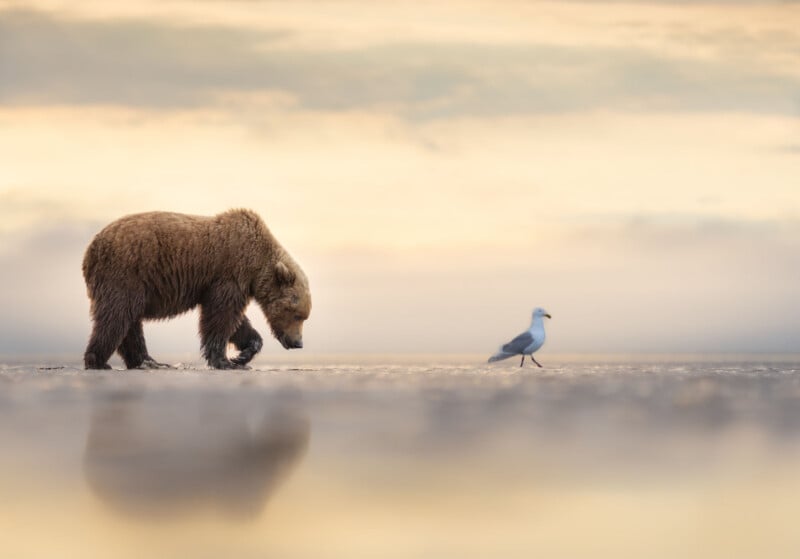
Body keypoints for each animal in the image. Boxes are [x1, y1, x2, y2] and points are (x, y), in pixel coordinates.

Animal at [82, 209, 311, 370]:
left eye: (304, 316)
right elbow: (221, 316)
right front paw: (224, 361)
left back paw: (148, 361)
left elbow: (235, 321)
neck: (256, 265)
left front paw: (243, 355)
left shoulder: (227, 284)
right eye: (297, 315)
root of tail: (91, 249)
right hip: (126, 273)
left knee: (129, 321)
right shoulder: (229, 274)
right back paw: (98, 361)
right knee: (117, 315)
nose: (298, 342)